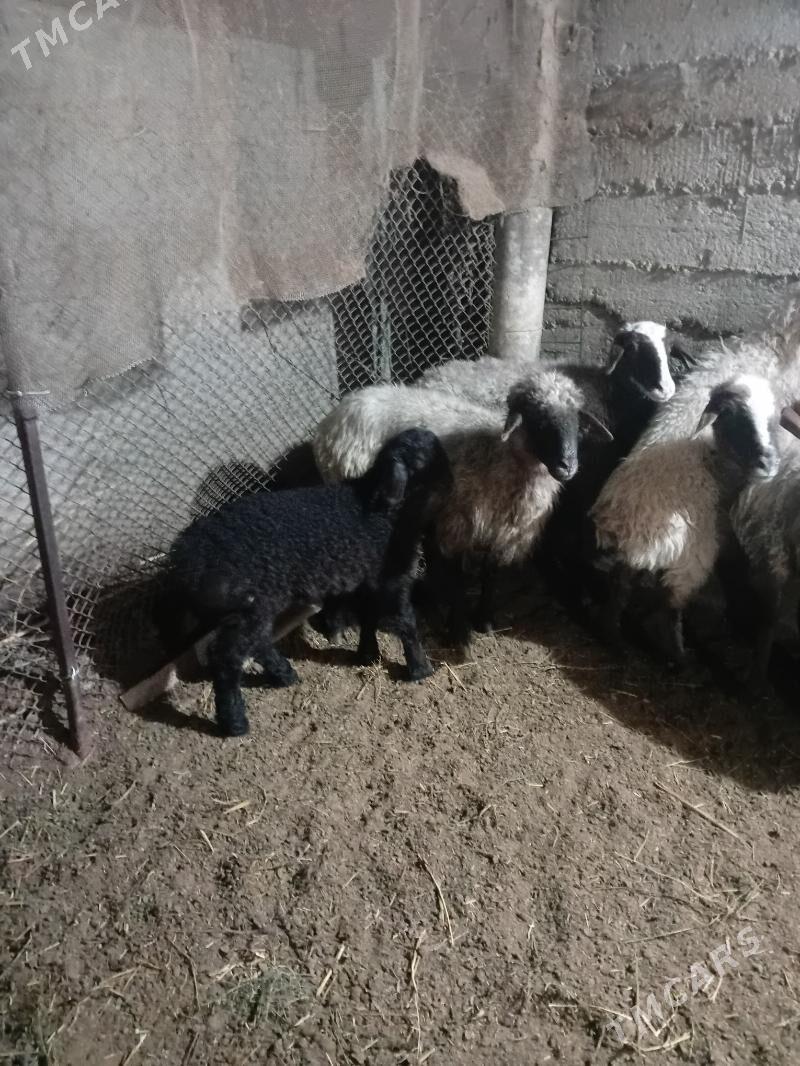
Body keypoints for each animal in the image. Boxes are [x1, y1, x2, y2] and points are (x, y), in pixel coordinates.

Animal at [161, 428, 452, 736]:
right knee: (227, 658)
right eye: (424, 460)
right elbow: (405, 622)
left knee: (255, 642)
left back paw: (284, 675)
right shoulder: (392, 577)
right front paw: (420, 669)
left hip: (249, 607)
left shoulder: (368, 577)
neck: (378, 500)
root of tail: (185, 564)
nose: (452, 481)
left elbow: (368, 615)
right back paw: (235, 722)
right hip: (248, 603)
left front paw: (367, 654)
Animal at [311, 372, 612, 642]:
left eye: (577, 423)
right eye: (538, 421)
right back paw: (336, 625)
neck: (504, 458)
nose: (567, 465)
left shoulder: (498, 529)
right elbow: (458, 579)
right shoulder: (456, 522)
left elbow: (490, 574)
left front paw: (485, 620)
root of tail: (338, 413)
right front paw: (457, 629)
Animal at [590, 374, 781, 664]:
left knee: (621, 585)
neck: (716, 459)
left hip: (641, 559)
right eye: (737, 418)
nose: (768, 463)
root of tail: (625, 526)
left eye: (771, 419)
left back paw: (613, 638)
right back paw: (677, 655)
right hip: (690, 558)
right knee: (670, 606)